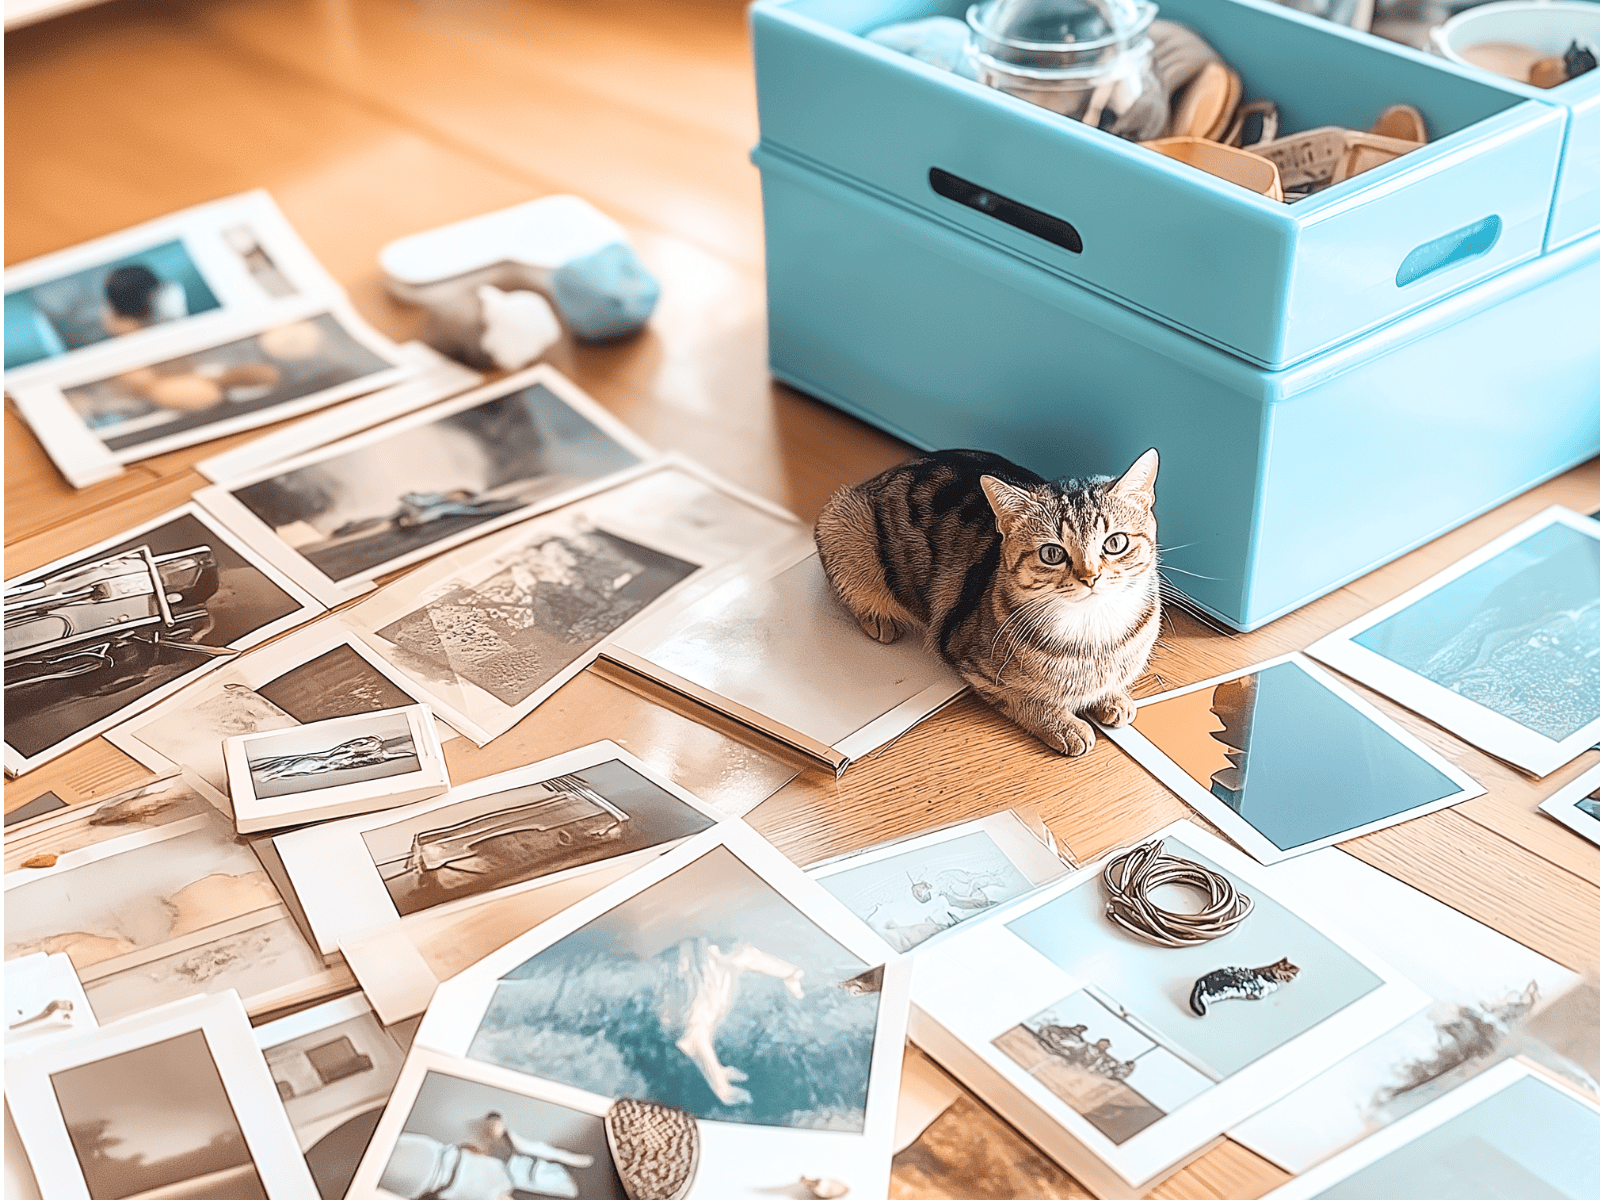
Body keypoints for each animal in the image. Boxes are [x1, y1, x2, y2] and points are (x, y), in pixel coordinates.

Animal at [819, 448, 1158, 755]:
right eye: (1052, 553)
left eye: (1115, 543)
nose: (1090, 577)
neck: (1094, 635)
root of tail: (877, 478)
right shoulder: (967, 659)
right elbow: (1024, 698)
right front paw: (1064, 725)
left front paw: (1114, 698)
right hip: (841, 523)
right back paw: (879, 618)